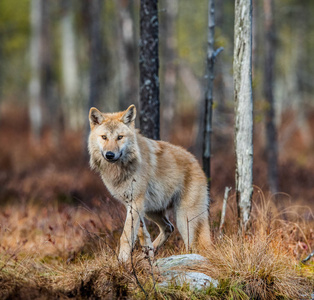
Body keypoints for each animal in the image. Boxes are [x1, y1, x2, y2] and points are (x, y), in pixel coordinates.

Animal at [88, 104, 211, 262]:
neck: (121, 169)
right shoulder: (132, 205)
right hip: (152, 212)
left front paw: (122, 262)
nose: (110, 155)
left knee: (194, 243)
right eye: (104, 137)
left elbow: (125, 236)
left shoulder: (136, 203)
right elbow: (141, 233)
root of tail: (197, 164)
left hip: (184, 219)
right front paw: (145, 255)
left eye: (119, 137)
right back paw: (150, 253)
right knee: (168, 227)